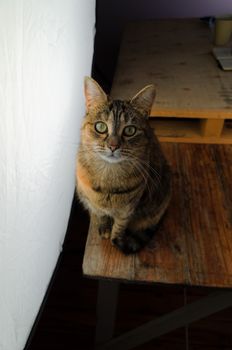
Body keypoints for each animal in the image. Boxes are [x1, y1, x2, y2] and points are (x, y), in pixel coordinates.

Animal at [76, 76, 170, 254]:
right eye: (100, 126)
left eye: (130, 130)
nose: (113, 146)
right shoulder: (92, 203)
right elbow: (101, 215)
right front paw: (104, 229)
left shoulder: (127, 210)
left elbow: (119, 227)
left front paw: (115, 239)